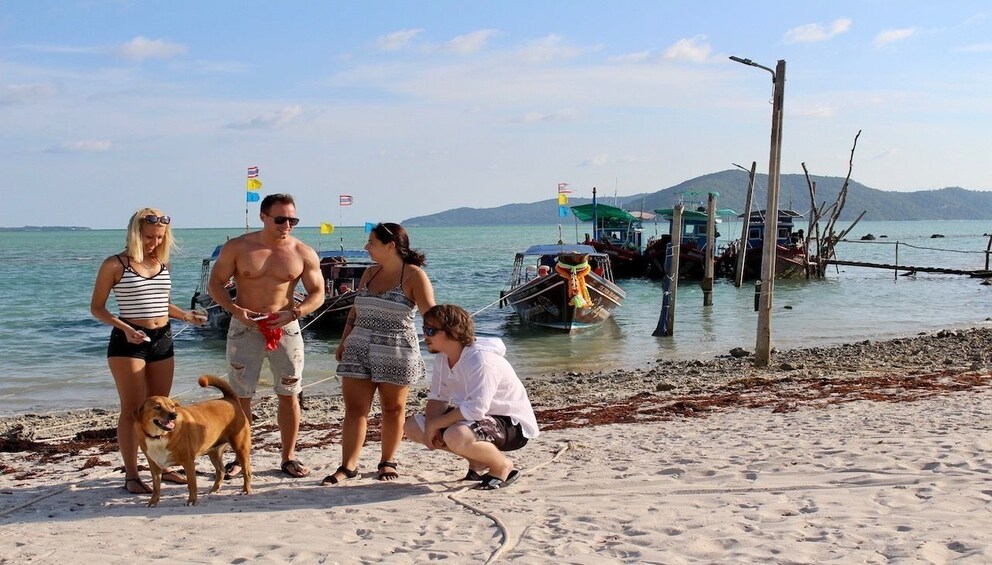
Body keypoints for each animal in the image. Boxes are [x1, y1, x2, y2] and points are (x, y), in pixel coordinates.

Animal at [135, 374, 252, 506]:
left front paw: (192, 500)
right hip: (214, 452)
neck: (159, 437)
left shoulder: (188, 462)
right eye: (157, 407)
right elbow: (156, 487)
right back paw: (213, 490)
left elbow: (191, 484)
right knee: (221, 471)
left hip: (240, 447)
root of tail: (228, 399)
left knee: (247, 471)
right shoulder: (154, 466)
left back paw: (246, 490)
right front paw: (153, 501)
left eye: (172, 406)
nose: (173, 415)